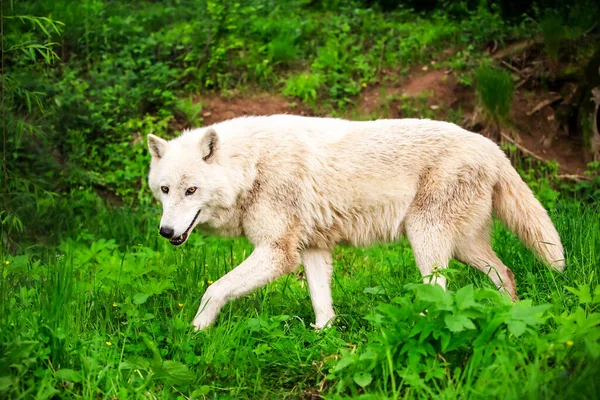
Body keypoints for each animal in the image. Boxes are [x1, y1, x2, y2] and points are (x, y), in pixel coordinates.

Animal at [148, 114, 564, 330]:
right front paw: (322, 335)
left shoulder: (278, 253)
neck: (252, 167)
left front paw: (197, 332)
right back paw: (512, 313)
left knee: (441, 291)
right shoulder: (312, 249)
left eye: (191, 190)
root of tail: (492, 147)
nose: (166, 232)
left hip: (425, 238)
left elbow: (214, 289)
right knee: (504, 272)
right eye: (165, 189)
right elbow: (321, 302)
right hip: (463, 246)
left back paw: (420, 324)